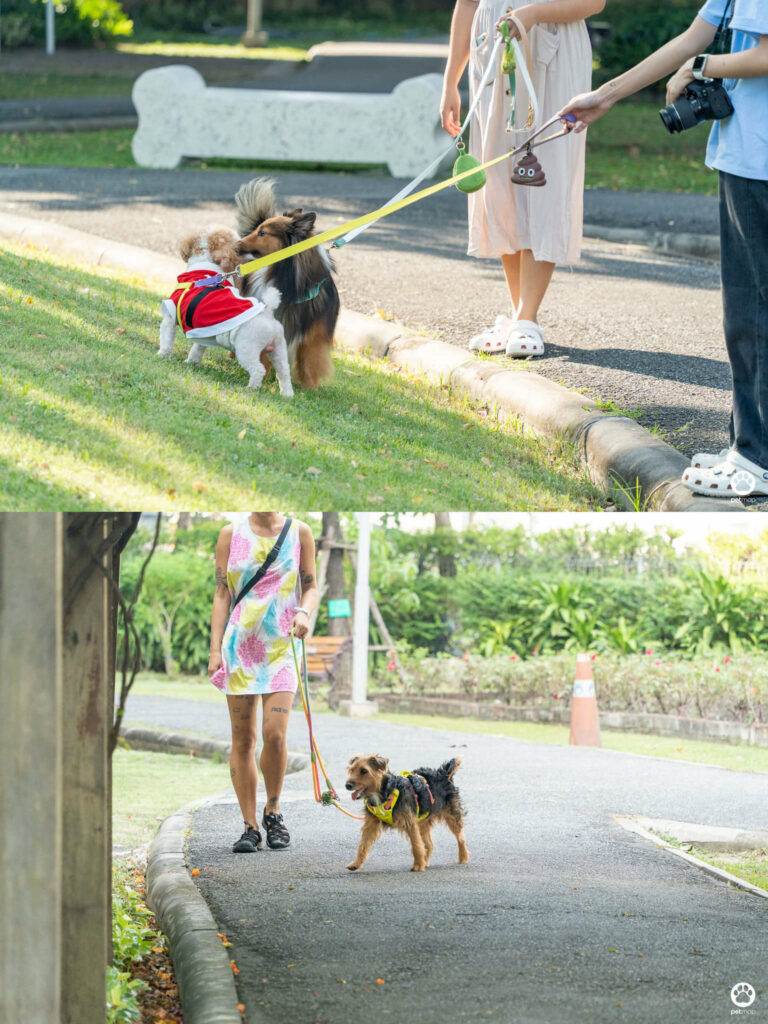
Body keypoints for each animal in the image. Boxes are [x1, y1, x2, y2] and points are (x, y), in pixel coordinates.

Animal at [159, 228, 294, 395]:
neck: (205, 267)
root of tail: (268, 312)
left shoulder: (170, 316)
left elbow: (166, 339)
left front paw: (162, 355)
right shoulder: (203, 331)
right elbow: (197, 349)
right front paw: (191, 362)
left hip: (246, 348)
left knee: (258, 370)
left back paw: (251, 388)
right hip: (278, 350)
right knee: (284, 373)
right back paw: (287, 395)